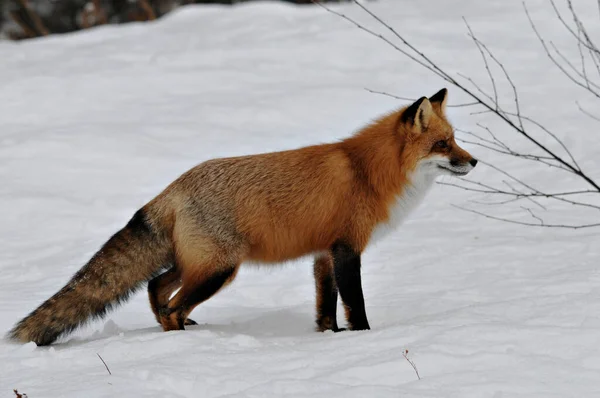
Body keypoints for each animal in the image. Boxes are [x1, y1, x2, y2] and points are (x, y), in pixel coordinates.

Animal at [7, 88, 476, 346]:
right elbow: (354, 302)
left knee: (157, 288)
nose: (474, 161)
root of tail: (173, 186)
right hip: (220, 269)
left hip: (196, 264)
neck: (368, 172)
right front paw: (364, 338)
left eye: (455, 140)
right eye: (443, 144)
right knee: (172, 305)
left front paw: (330, 339)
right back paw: (183, 341)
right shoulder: (346, 248)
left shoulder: (322, 253)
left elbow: (325, 307)